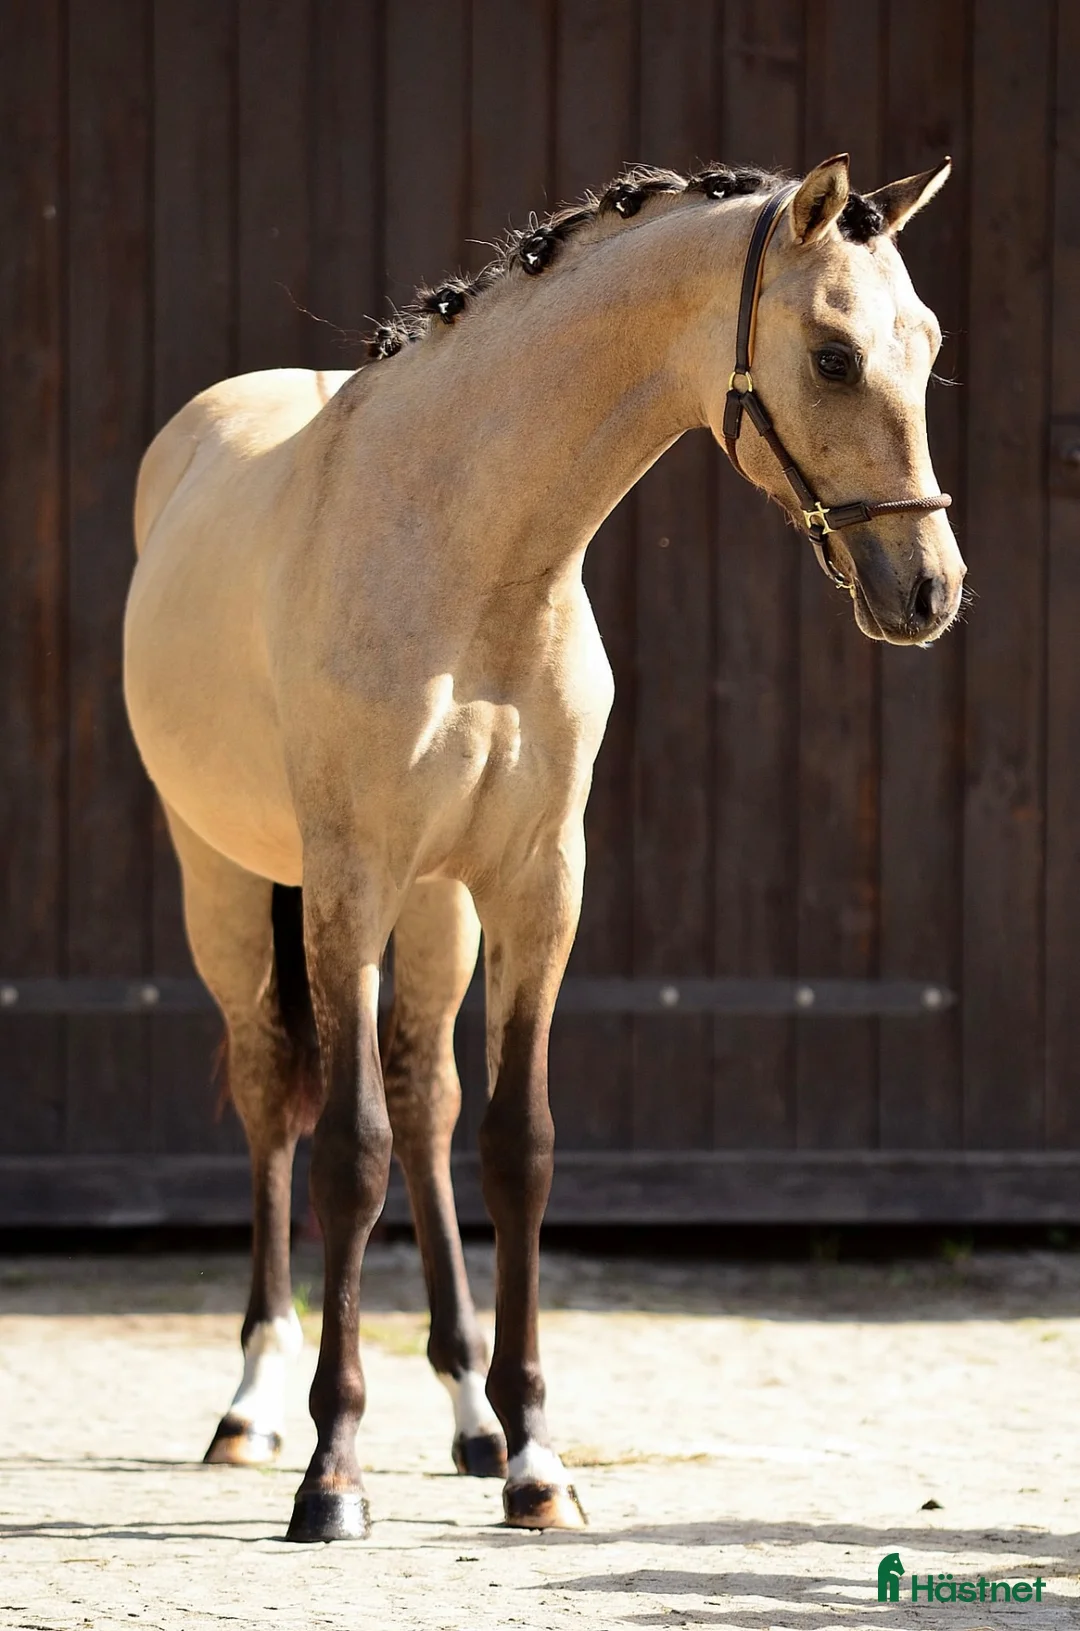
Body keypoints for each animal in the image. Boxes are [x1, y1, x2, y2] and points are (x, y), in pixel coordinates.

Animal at [123, 153, 966, 1542]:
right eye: (836, 355)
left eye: (930, 343)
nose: (929, 589)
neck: (470, 556)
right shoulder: (349, 880)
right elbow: (347, 1152)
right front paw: (333, 1473)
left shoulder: (535, 887)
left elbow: (516, 1145)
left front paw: (533, 1458)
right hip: (230, 886)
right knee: (273, 1100)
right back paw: (252, 1406)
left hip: (438, 911)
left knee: (425, 1097)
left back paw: (466, 1414)